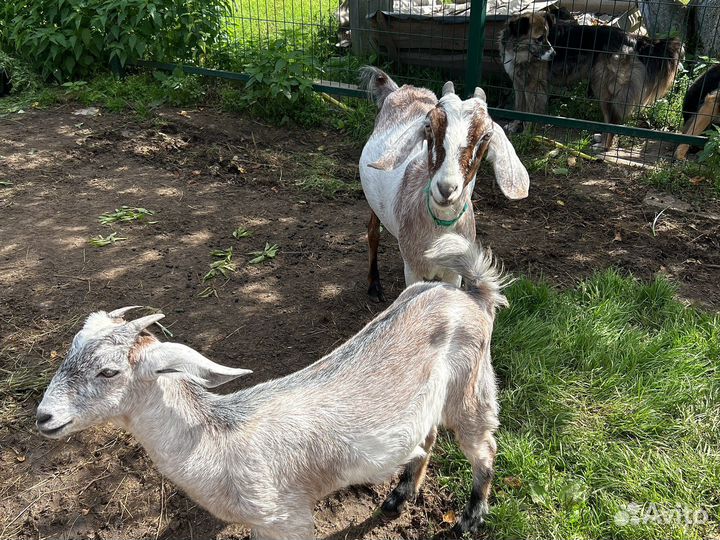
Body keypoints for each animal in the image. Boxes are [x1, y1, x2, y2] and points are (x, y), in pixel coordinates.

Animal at [37, 233, 507, 540]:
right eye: (71, 349)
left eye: (109, 372)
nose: (44, 416)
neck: (216, 440)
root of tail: (473, 295)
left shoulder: (287, 517)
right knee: (426, 438)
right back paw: (399, 496)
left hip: (472, 386)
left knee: (484, 447)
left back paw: (471, 518)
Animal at [359, 66, 529, 301]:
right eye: (428, 126)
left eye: (486, 136)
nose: (446, 189)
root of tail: (401, 89)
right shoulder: (412, 268)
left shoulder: (454, 272)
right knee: (373, 231)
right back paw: (374, 285)